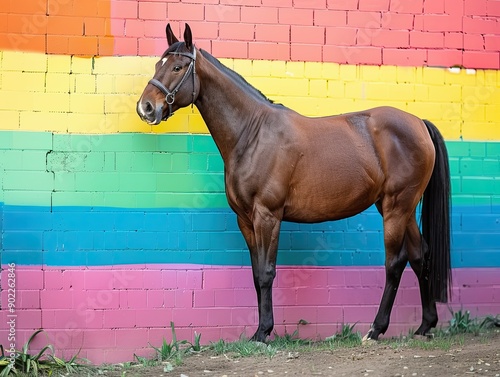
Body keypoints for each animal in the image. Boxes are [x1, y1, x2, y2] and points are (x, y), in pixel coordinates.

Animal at [135, 22, 452, 340]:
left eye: (177, 67)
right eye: (158, 64)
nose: (146, 107)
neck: (252, 133)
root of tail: (419, 123)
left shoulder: (268, 216)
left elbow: (266, 273)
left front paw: (263, 332)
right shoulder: (245, 220)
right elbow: (256, 273)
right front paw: (260, 330)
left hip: (397, 207)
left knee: (395, 262)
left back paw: (376, 329)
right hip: (400, 208)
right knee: (420, 255)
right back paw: (425, 325)